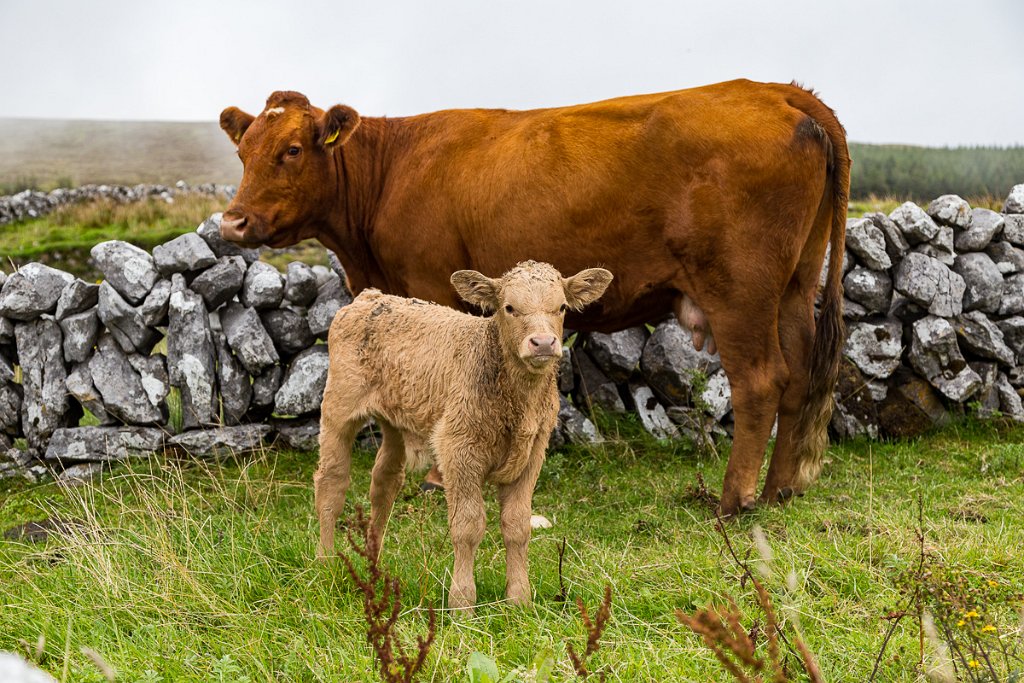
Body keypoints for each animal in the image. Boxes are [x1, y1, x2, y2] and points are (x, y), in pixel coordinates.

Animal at [222, 80, 847, 516]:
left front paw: (436, 478)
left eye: (293, 149)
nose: (233, 221)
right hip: (794, 287)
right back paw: (781, 489)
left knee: (761, 382)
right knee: (798, 378)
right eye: (244, 151)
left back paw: (734, 500)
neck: (392, 170)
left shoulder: (434, 285)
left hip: (739, 292)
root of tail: (776, 90)